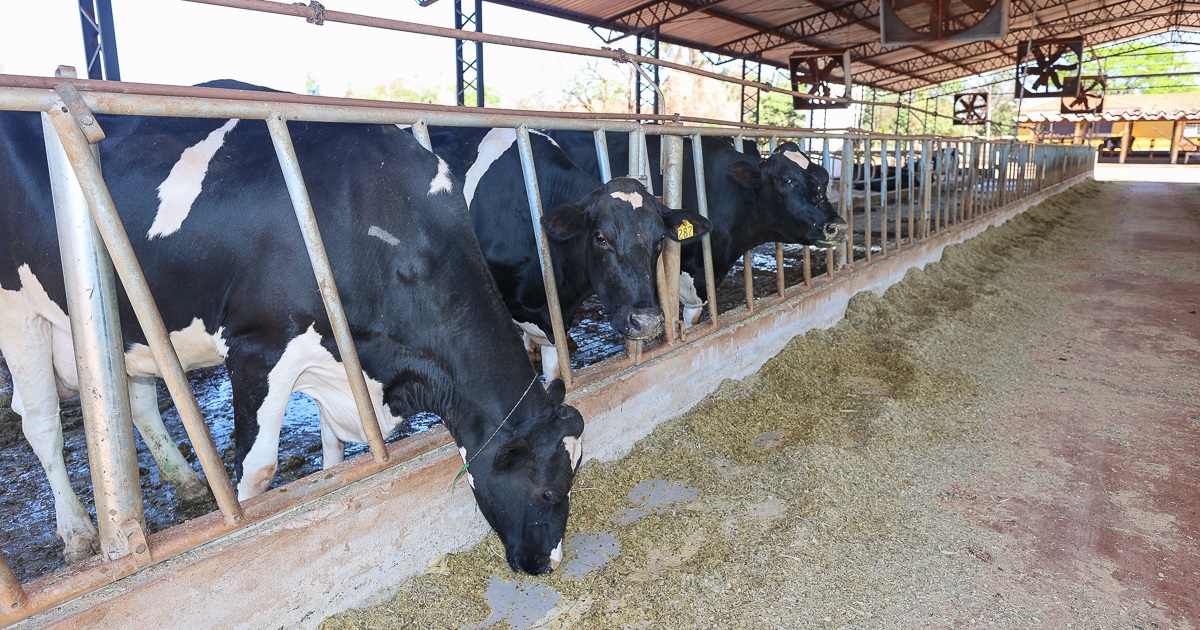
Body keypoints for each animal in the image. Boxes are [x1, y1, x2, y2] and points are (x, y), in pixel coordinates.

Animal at [0, 81, 580, 571]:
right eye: (549, 492)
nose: (547, 564)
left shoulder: (338, 354)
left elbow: (333, 445)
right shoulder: (259, 346)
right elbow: (256, 472)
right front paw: (246, 527)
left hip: (129, 330)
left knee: (137, 402)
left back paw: (186, 482)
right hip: (18, 313)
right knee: (41, 422)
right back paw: (78, 533)